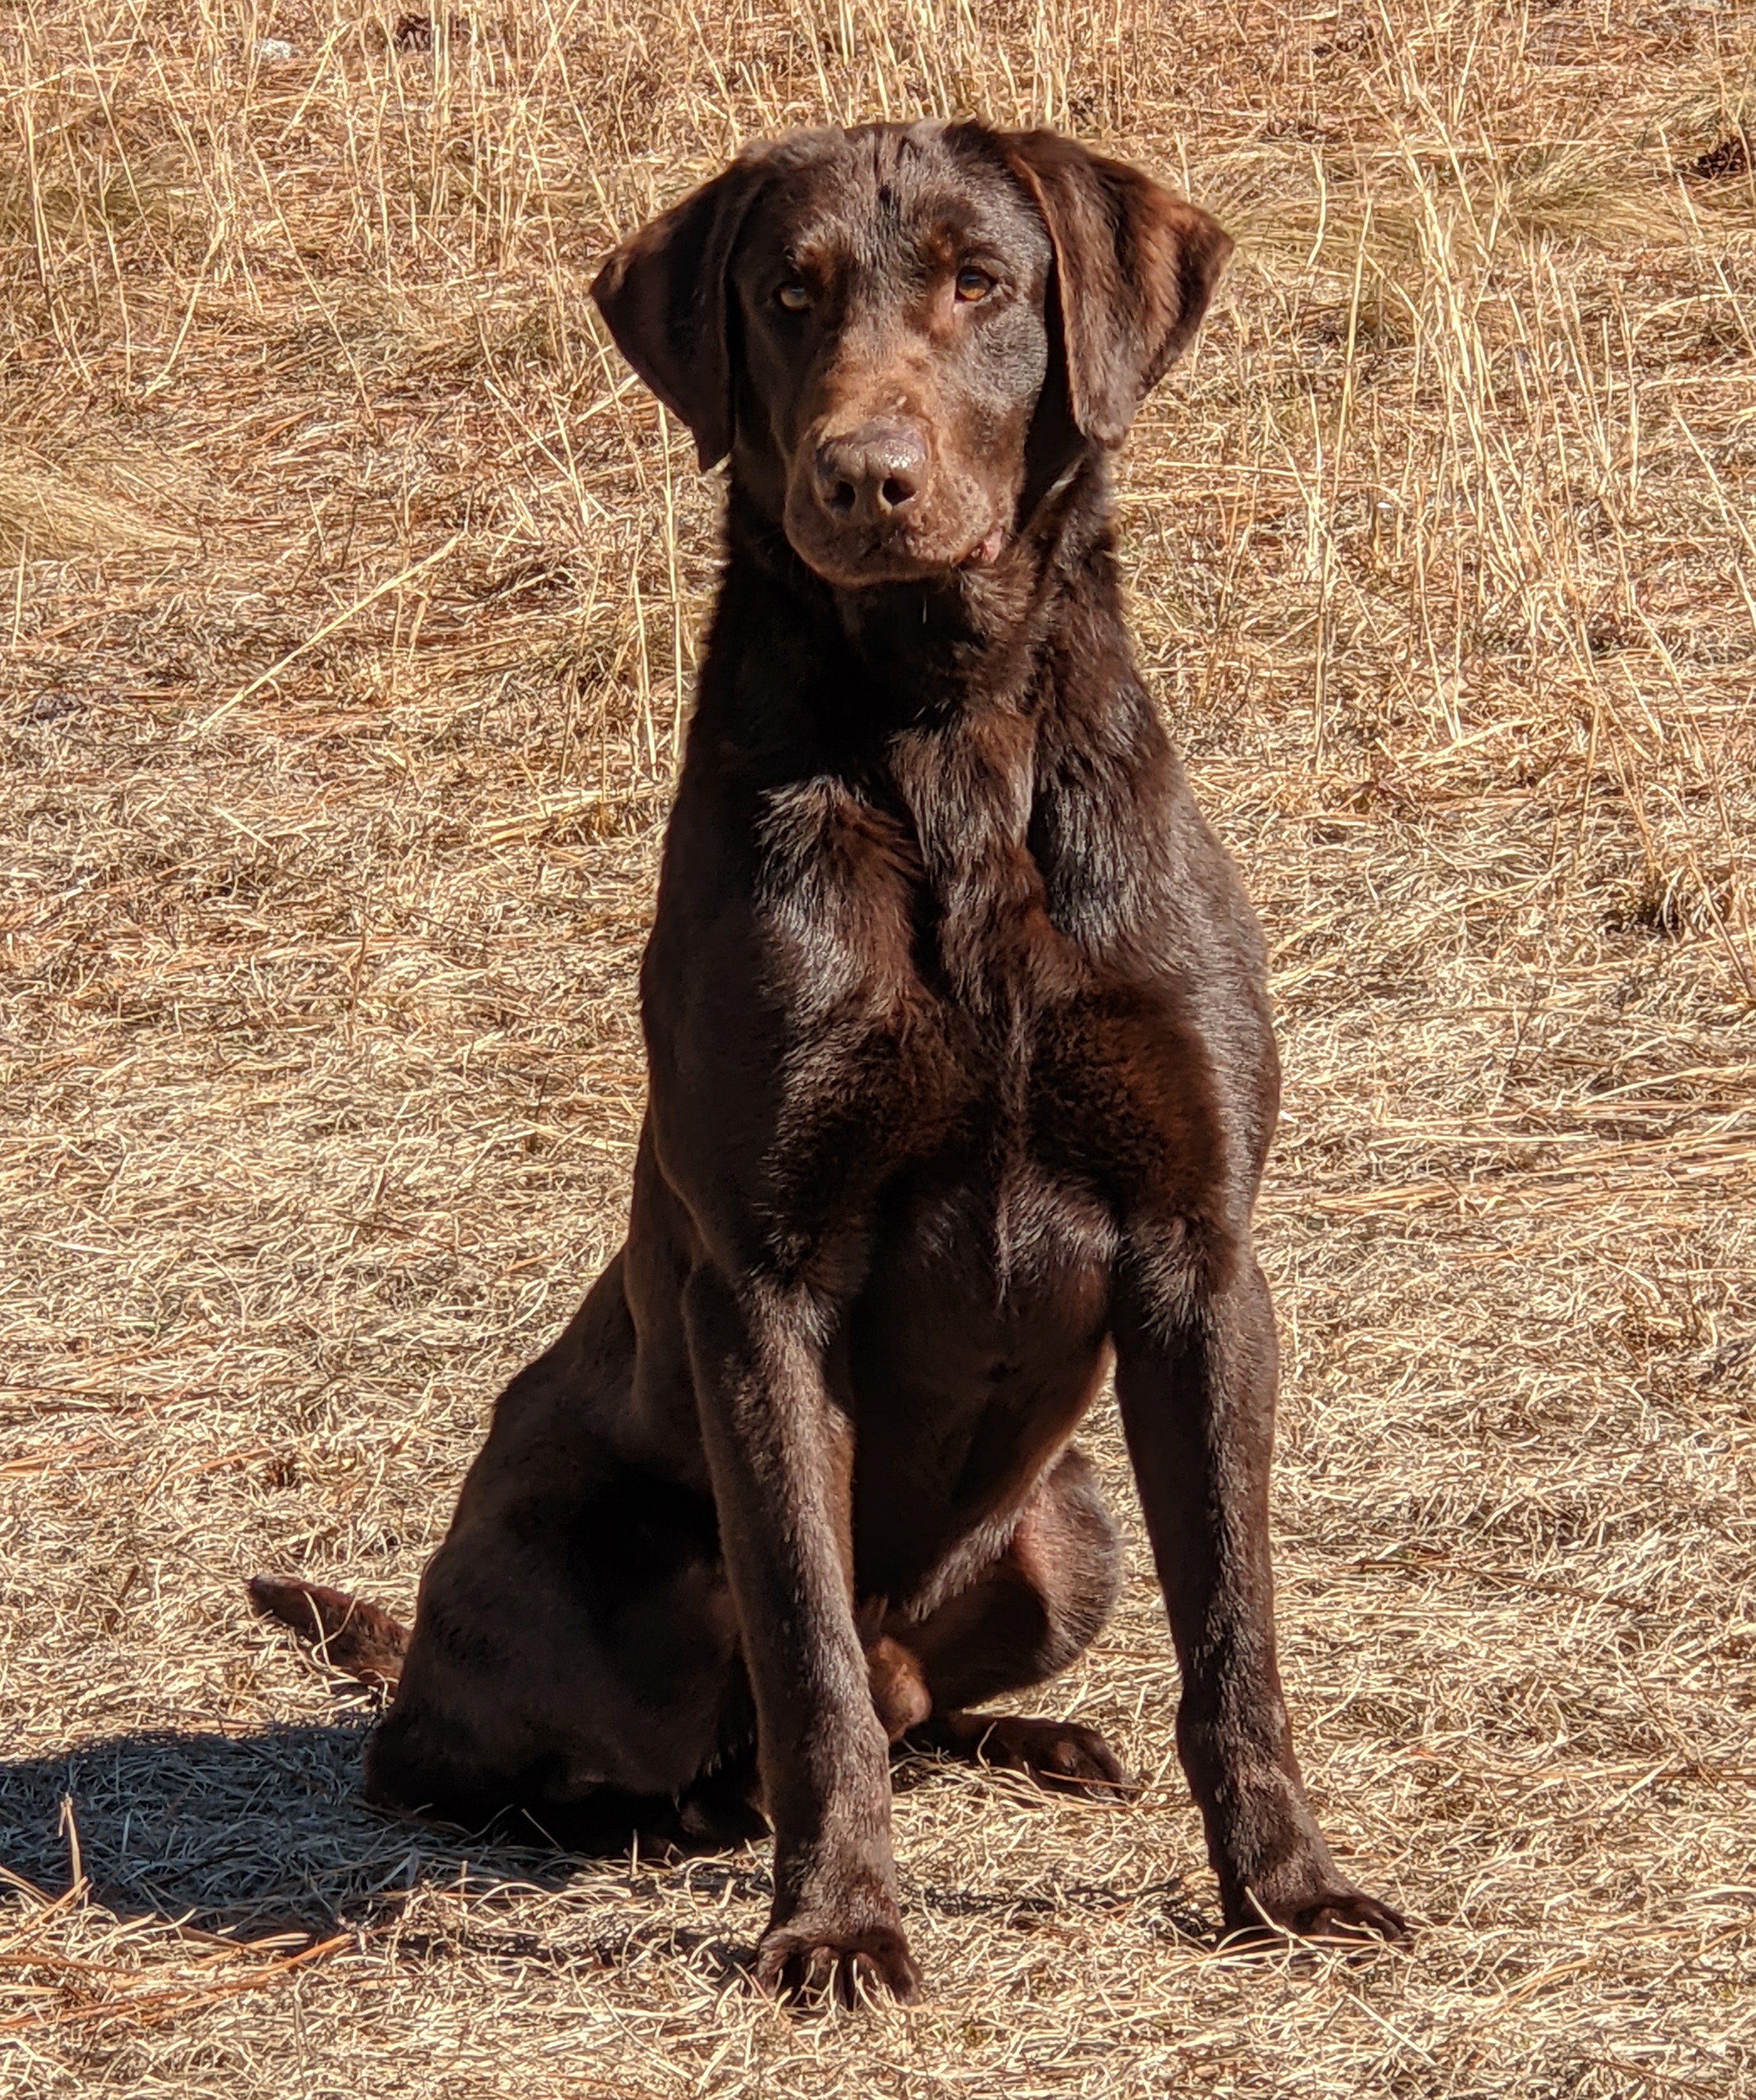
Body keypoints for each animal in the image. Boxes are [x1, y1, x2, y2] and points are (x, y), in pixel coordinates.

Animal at [254, 119, 1403, 1999]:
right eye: (787, 298)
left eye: (981, 282)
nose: (865, 477)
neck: (951, 733)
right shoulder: (763, 1286)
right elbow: (807, 1659)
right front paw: (839, 1922)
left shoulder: (1198, 1258)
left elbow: (1234, 1631)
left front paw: (1285, 1889)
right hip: (586, 1563)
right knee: (482, 1748)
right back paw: (659, 1813)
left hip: (1068, 1526)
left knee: (925, 1690)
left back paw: (1033, 1740)